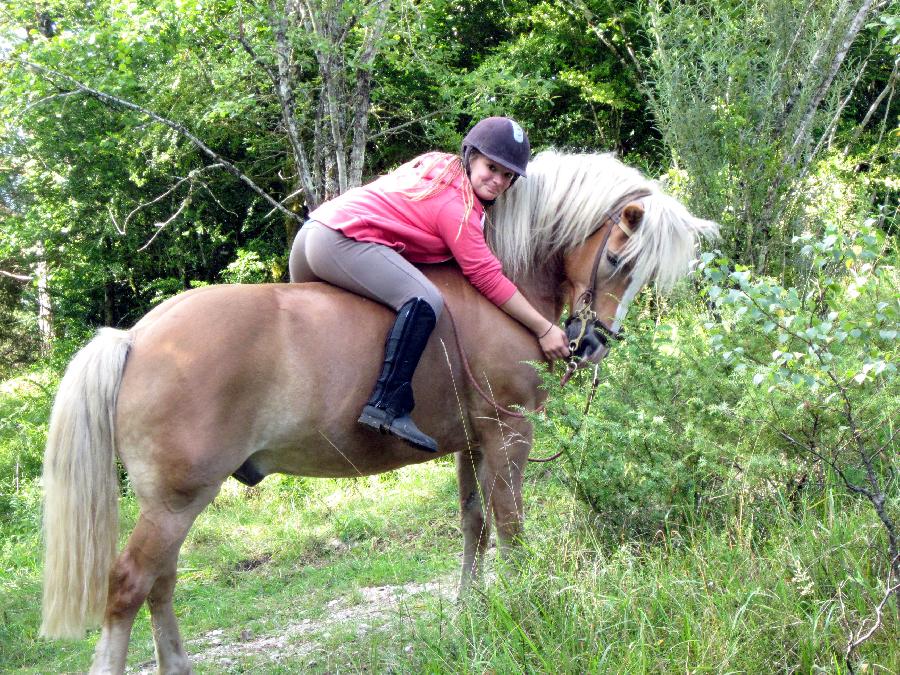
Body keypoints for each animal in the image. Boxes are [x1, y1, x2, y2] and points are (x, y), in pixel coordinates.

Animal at [40, 151, 716, 672]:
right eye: (619, 260)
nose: (592, 343)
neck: (501, 292)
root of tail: (134, 338)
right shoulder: (508, 434)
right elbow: (511, 528)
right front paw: (529, 605)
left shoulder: (472, 442)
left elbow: (474, 525)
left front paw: (473, 611)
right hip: (176, 500)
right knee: (130, 585)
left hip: (174, 505)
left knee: (162, 582)